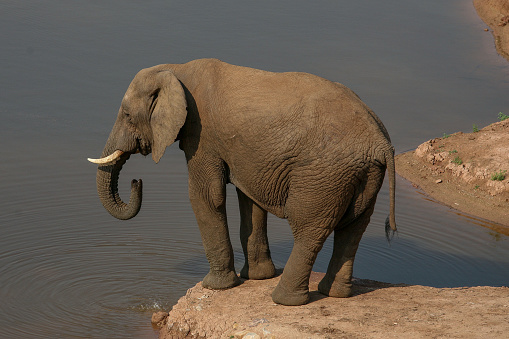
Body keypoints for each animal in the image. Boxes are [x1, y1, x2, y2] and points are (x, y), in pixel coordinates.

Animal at [88, 59, 396, 308]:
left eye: (127, 116)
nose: (136, 181)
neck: (176, 69)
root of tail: (380, 142)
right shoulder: (249, 156)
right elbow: (250, 200)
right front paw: (256, 277)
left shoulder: (202, 135)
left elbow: (205, 196)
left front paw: (215, 286)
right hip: (362, 175)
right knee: (353, 228)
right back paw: (334, 294)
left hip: (323, 175)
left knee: (308, 229)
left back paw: (284, 301)